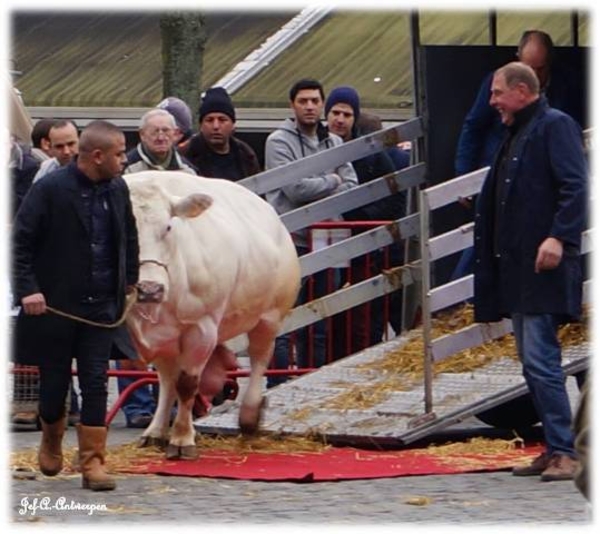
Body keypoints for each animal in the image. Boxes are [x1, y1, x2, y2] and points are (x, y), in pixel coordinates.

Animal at [123, 172, 300, 460]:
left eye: (168, 228)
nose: (149, 289)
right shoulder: (156, 335)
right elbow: (168, 381)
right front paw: (160, 432)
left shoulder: (202, 328)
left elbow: (187, 384)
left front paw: (182, 439)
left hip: (270, 317)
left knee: (260, 359)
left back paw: (249, 416)